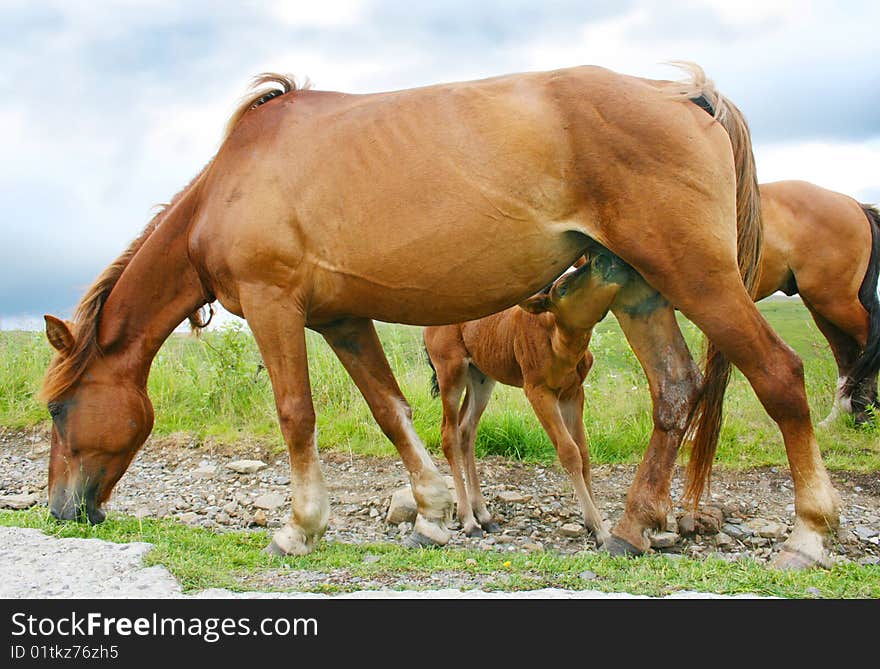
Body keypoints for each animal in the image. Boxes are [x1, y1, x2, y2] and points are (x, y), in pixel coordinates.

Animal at [39, 61, 840, 568]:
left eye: (56, 411)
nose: (60, 510)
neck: (231, 184)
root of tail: (688, 97)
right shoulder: (340, 320)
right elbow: (393, 411)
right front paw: (430, 513)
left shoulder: (275, 307)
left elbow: (296, 414)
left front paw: (300, 528)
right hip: (643, 288)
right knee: (675, 391)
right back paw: (630, 528)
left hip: (696, 276)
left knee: (779, 375)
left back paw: (806, 535)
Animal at [756, 180, 880, 426]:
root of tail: (855, 204)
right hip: (824, 307)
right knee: (846, 354)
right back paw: (837, 418)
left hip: (837, 302)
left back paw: (863, 413)